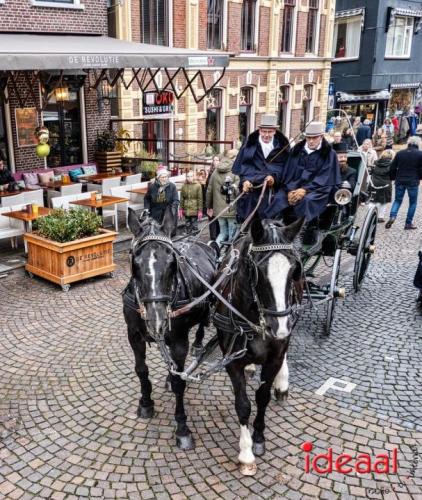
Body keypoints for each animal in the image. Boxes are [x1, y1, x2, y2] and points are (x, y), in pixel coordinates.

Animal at [121, 207, 214, 450]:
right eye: (135, 263)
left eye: (172, 262)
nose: (157, 320)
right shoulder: (133, 335)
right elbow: (141, 369)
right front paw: (145, 402)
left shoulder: (179, 341)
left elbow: (180, 381)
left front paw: (182, 427)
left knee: (202, 324)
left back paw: (199, 343)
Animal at [214, 217, 304, 474]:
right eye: (257, 272)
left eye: (294, 270)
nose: (279, 327)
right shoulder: (232, 360)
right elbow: (243, 404)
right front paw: (246, 453)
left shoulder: (275, 355)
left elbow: (262, 396)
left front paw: (259, 438)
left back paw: (282, 383)